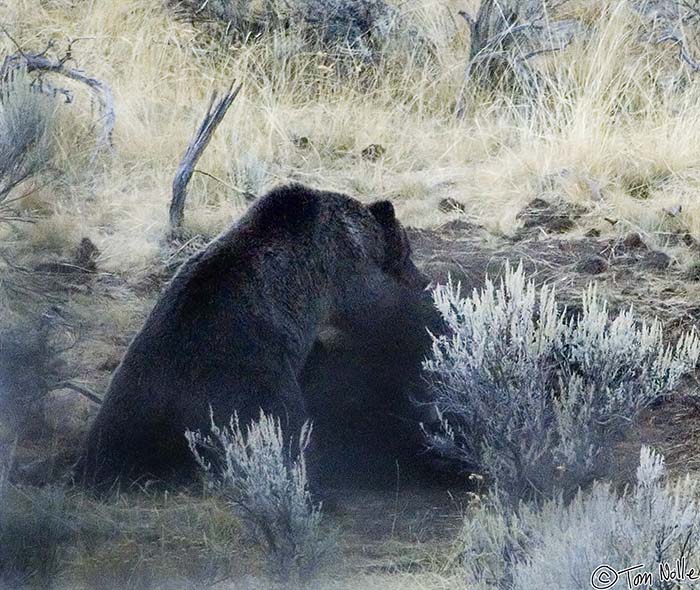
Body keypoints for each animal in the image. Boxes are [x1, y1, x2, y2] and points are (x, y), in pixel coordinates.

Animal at [75, 185, 426, 490]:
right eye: (407, 249)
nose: (420, 277)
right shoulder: (343, 270)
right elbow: (374, 307)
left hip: (136, 381)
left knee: (116, 433)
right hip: (250, 376)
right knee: (284, 422)